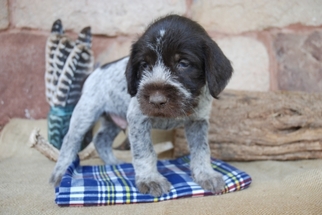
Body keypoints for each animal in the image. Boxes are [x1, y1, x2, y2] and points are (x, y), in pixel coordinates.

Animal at [50, 14, 233, 197]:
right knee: (70, 140)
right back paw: (61, 173)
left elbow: (201, 150)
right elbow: (145, 151)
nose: (156, 100)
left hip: (114, 119)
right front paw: (150, 179)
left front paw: (205, 174)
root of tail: (93, 73)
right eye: (144, 65)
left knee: (101, 139)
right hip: (86, 113)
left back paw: (113, 163)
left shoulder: (198, 121)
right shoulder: (138, 118)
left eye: (183, 63)